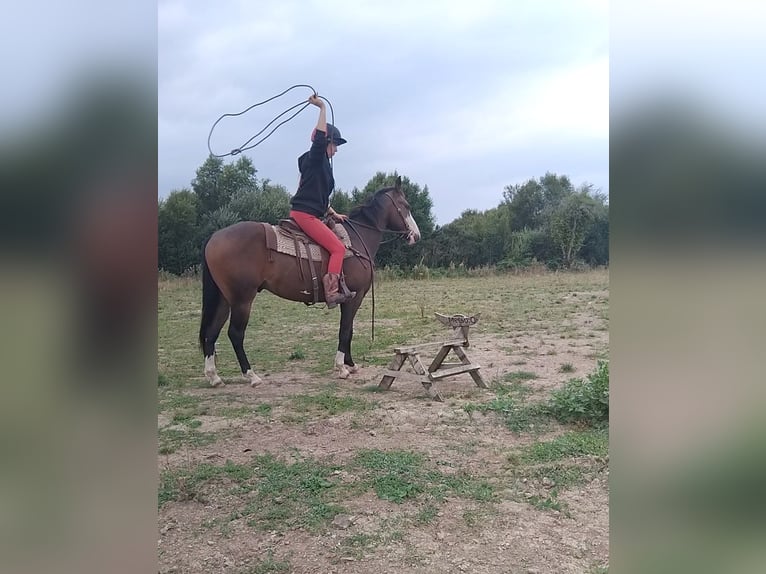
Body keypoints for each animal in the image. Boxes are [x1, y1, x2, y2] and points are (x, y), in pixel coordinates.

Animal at [198, 176, 421, 387]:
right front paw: (342, 368)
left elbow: (349, 330)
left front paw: (351, 364)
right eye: (406, 206)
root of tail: (214, 237)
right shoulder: (353, 297)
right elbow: (345, 330)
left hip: (224, 299)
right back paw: (251, 376)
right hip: (242, 300)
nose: (416, 236)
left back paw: (214, 377)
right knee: (235, 334)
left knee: (211, 332)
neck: (358, 239)